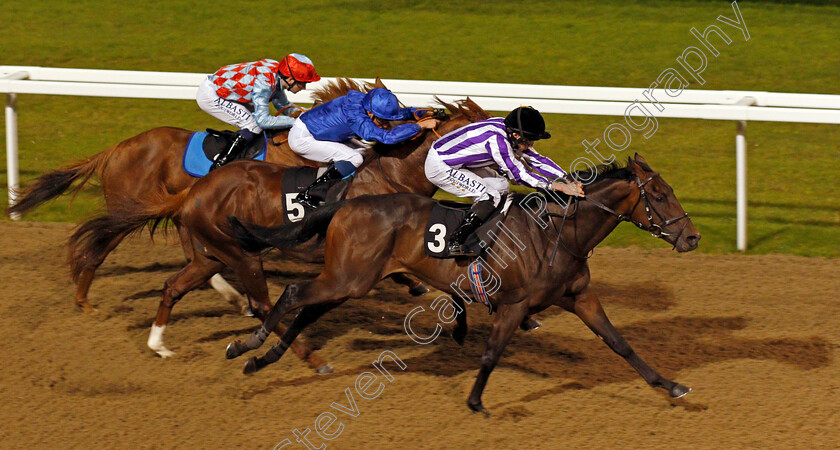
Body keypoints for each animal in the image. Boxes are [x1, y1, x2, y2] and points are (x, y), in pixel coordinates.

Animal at [70, 97, 492, 362]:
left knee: (175, 284)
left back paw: (159, 344)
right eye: (481, 132)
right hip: (238, 252)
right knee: (259, 303)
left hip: (213, 252)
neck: (389, 174)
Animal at [225, 155, 704, 412]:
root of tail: (347, 204)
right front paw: (475, 401)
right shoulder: (514, 304)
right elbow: (492, 352)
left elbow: (620, 344)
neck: (558, 234)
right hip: (347, 278)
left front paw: (672, 386)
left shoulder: (579, 297)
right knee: (293, 294)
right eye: (659, 195)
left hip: (349, 280)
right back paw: (246, 346)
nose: (692, 237)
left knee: (306, 310)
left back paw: (262, 360)